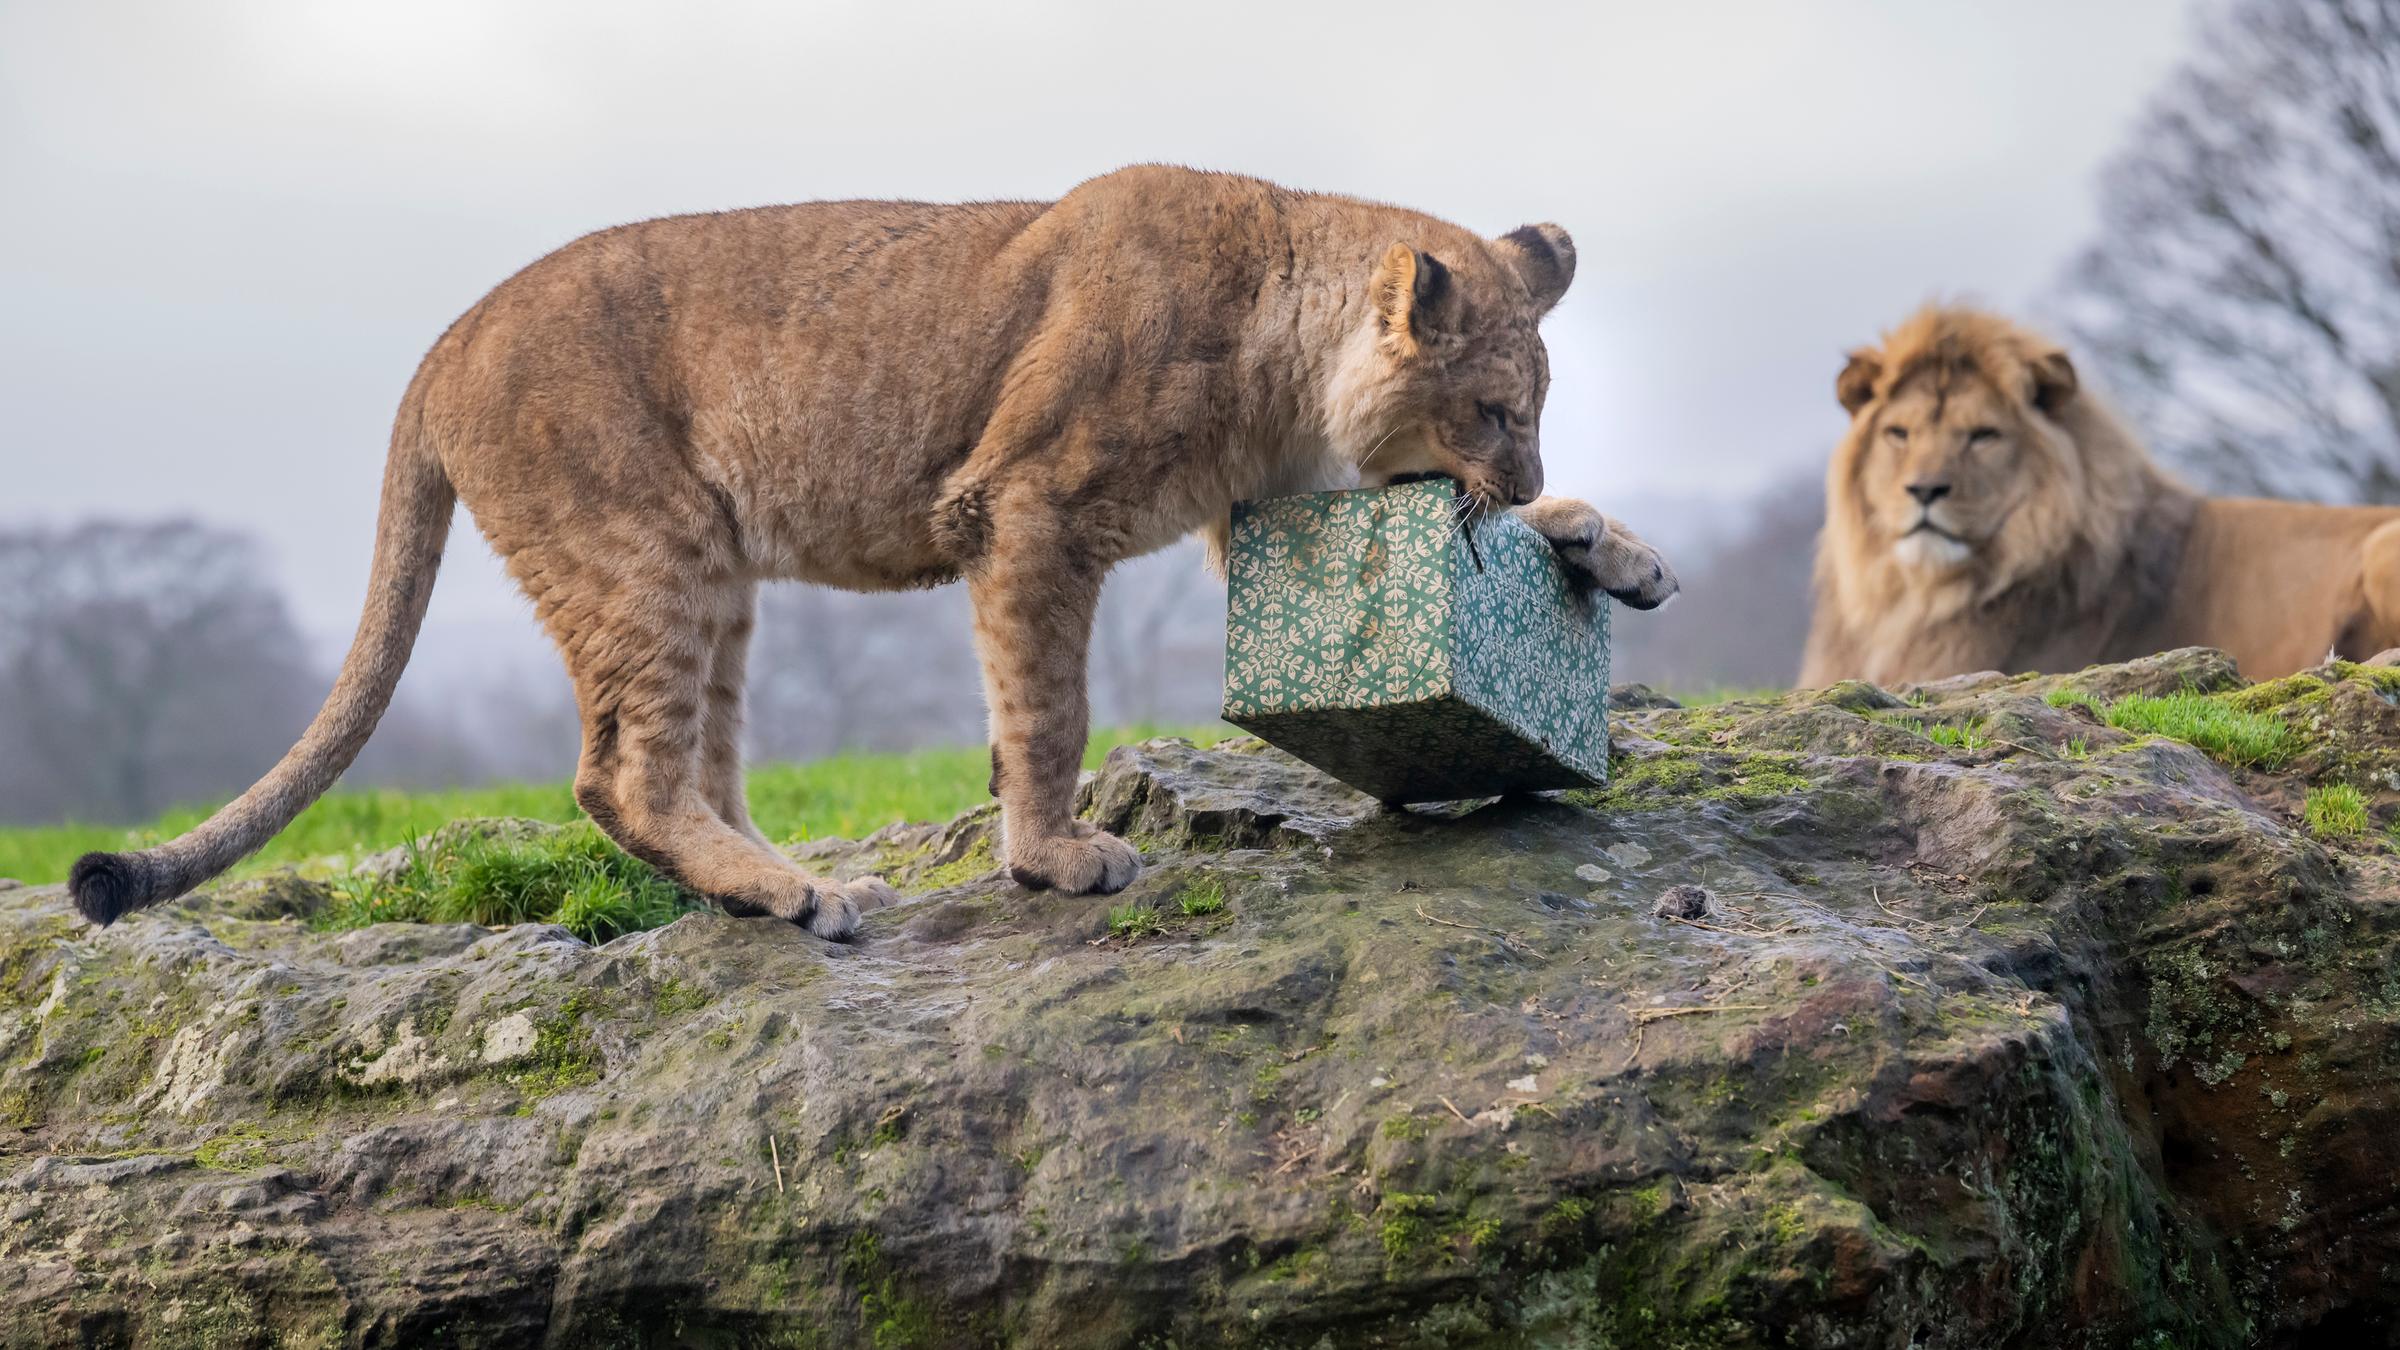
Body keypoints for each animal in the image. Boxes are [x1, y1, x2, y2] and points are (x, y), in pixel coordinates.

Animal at [70, 165, 1677, 938]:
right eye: (1491, 407)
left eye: (1537, 411)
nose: (1521, 467)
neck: (1282, 341)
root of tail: (441, 343)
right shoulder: (1026, 510)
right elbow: (1046, 709)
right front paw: (1054, 857)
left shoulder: (1262, 511)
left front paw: (1606, 547)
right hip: (647, 548)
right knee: (618, 774)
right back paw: (795, 896)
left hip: (714, 578)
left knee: (690, 764)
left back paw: (788, 884)